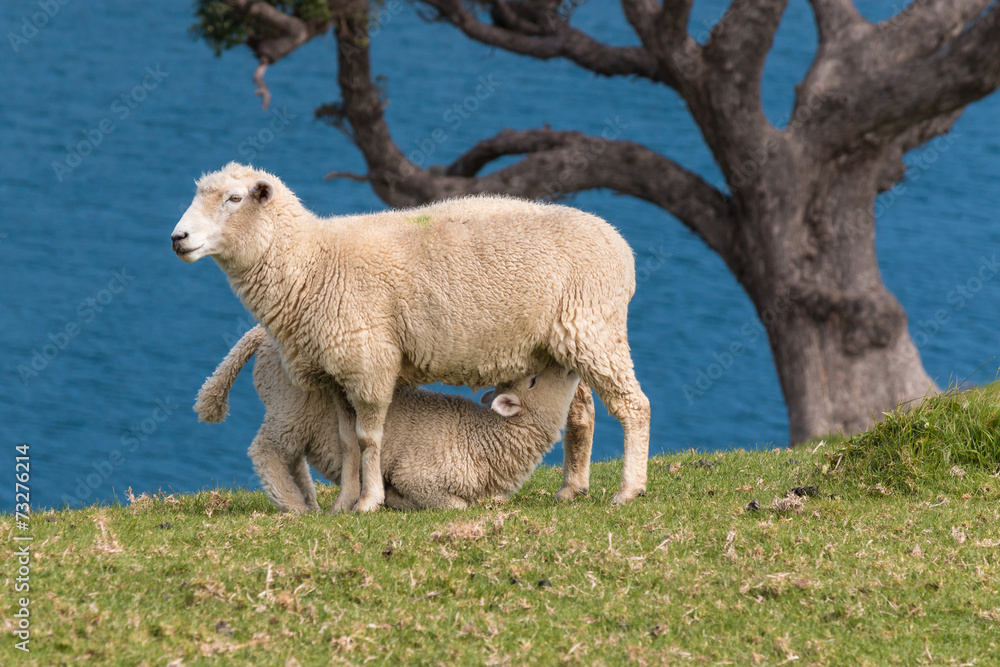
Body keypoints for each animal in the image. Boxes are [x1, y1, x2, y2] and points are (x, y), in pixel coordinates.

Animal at [196, 325, 585, 511]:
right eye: (533, 380)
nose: (567, 361)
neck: (481, 438)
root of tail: (262, 335)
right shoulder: (419, 474)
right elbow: (454, 504)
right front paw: (397, 502)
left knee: (290, 459)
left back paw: (308, 500)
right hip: (289, 404)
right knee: (266, 451)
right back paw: (294, 506)